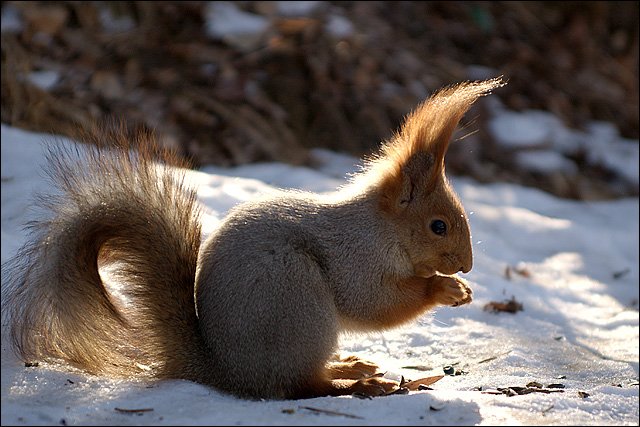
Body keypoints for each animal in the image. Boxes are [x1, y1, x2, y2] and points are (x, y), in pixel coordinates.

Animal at [3, 77, 504, 402]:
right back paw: (358, 383)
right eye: (438, 226)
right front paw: (445, 288)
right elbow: (373, 304)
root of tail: (227, 372)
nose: (467, 264)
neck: (379, 229)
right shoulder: (354, 258)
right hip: (295, 297)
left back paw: (350, 366)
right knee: (300, 385)